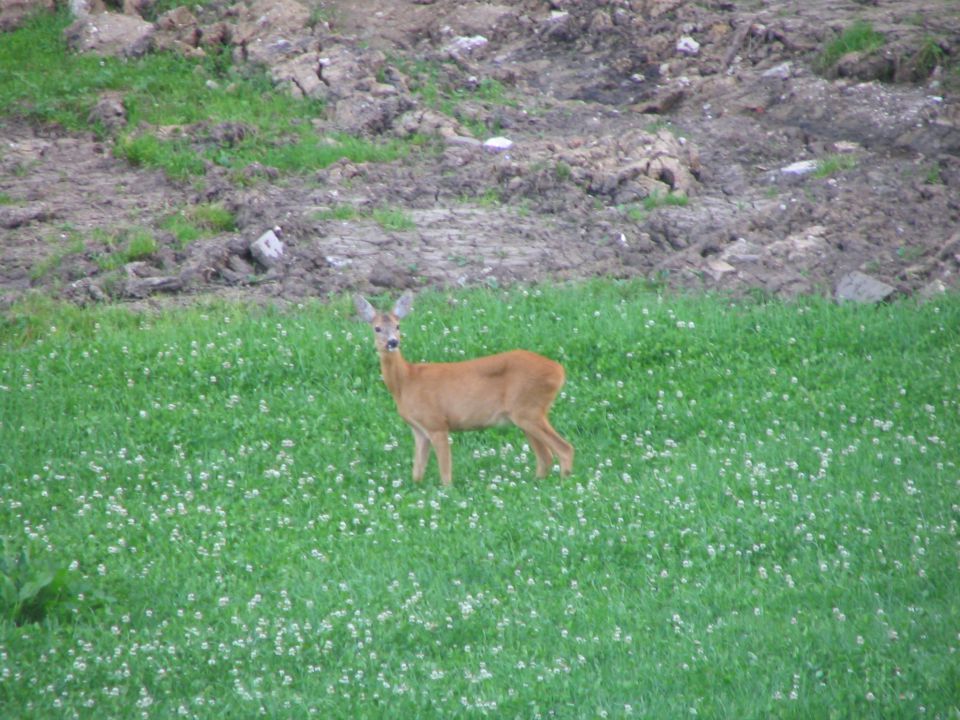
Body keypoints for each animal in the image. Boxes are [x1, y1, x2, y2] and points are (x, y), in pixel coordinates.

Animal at [356, 290, 572, 486]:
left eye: (398, 325)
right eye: (377, 328)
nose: (393, 342)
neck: (407, 381)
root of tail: (559, 370)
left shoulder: (436, 423)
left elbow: (445, 473)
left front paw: (447, 492)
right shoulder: (419, 430)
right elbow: (417, 473)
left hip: (528, 408)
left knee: (565, 449)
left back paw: (564, 484)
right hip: (525, 414)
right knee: (546, 457)